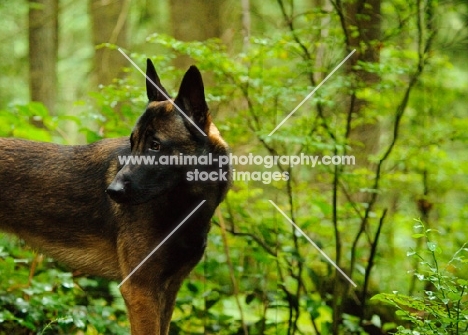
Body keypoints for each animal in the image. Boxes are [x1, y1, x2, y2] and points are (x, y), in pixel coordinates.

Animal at [0, 59, 231, 334]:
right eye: (133, 143)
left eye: (155, 145)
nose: (112, 191)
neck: (184, 208)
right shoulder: (140, 290)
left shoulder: (168, 290)